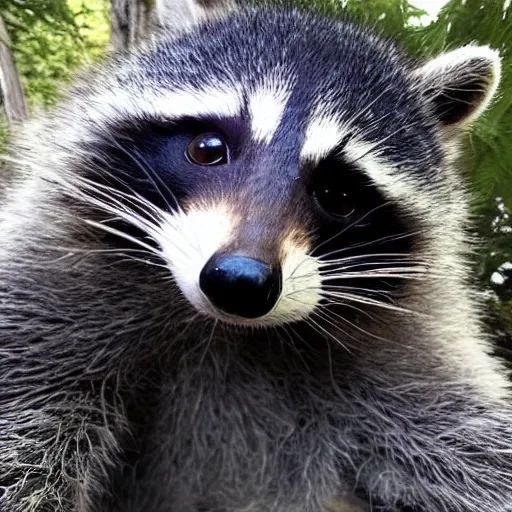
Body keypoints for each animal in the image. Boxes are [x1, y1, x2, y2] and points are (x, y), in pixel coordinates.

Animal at [1, 1, 512, 512]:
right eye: (207, 148)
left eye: (339, 195)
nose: (239, 282)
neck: (226, 331)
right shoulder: (47, 292)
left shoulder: (416, 360)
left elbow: (476, 451)